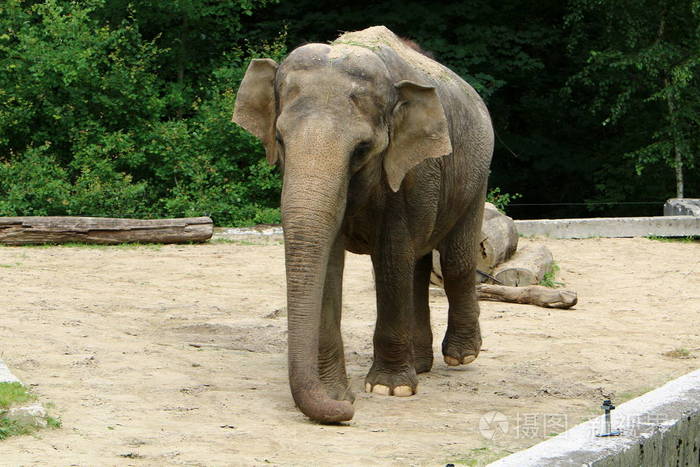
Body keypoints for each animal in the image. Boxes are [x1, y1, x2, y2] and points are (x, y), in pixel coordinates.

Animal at [232, 26, 494, 423]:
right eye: (279, 139)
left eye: (361, 149)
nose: (347, 410)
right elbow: (330, 263)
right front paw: (337, 393)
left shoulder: (410, 168)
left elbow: (391, 257)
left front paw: (389, 389)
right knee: (418, 267)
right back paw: (421, 364)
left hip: (477, 174)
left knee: (452, 262)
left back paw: (460, 356)